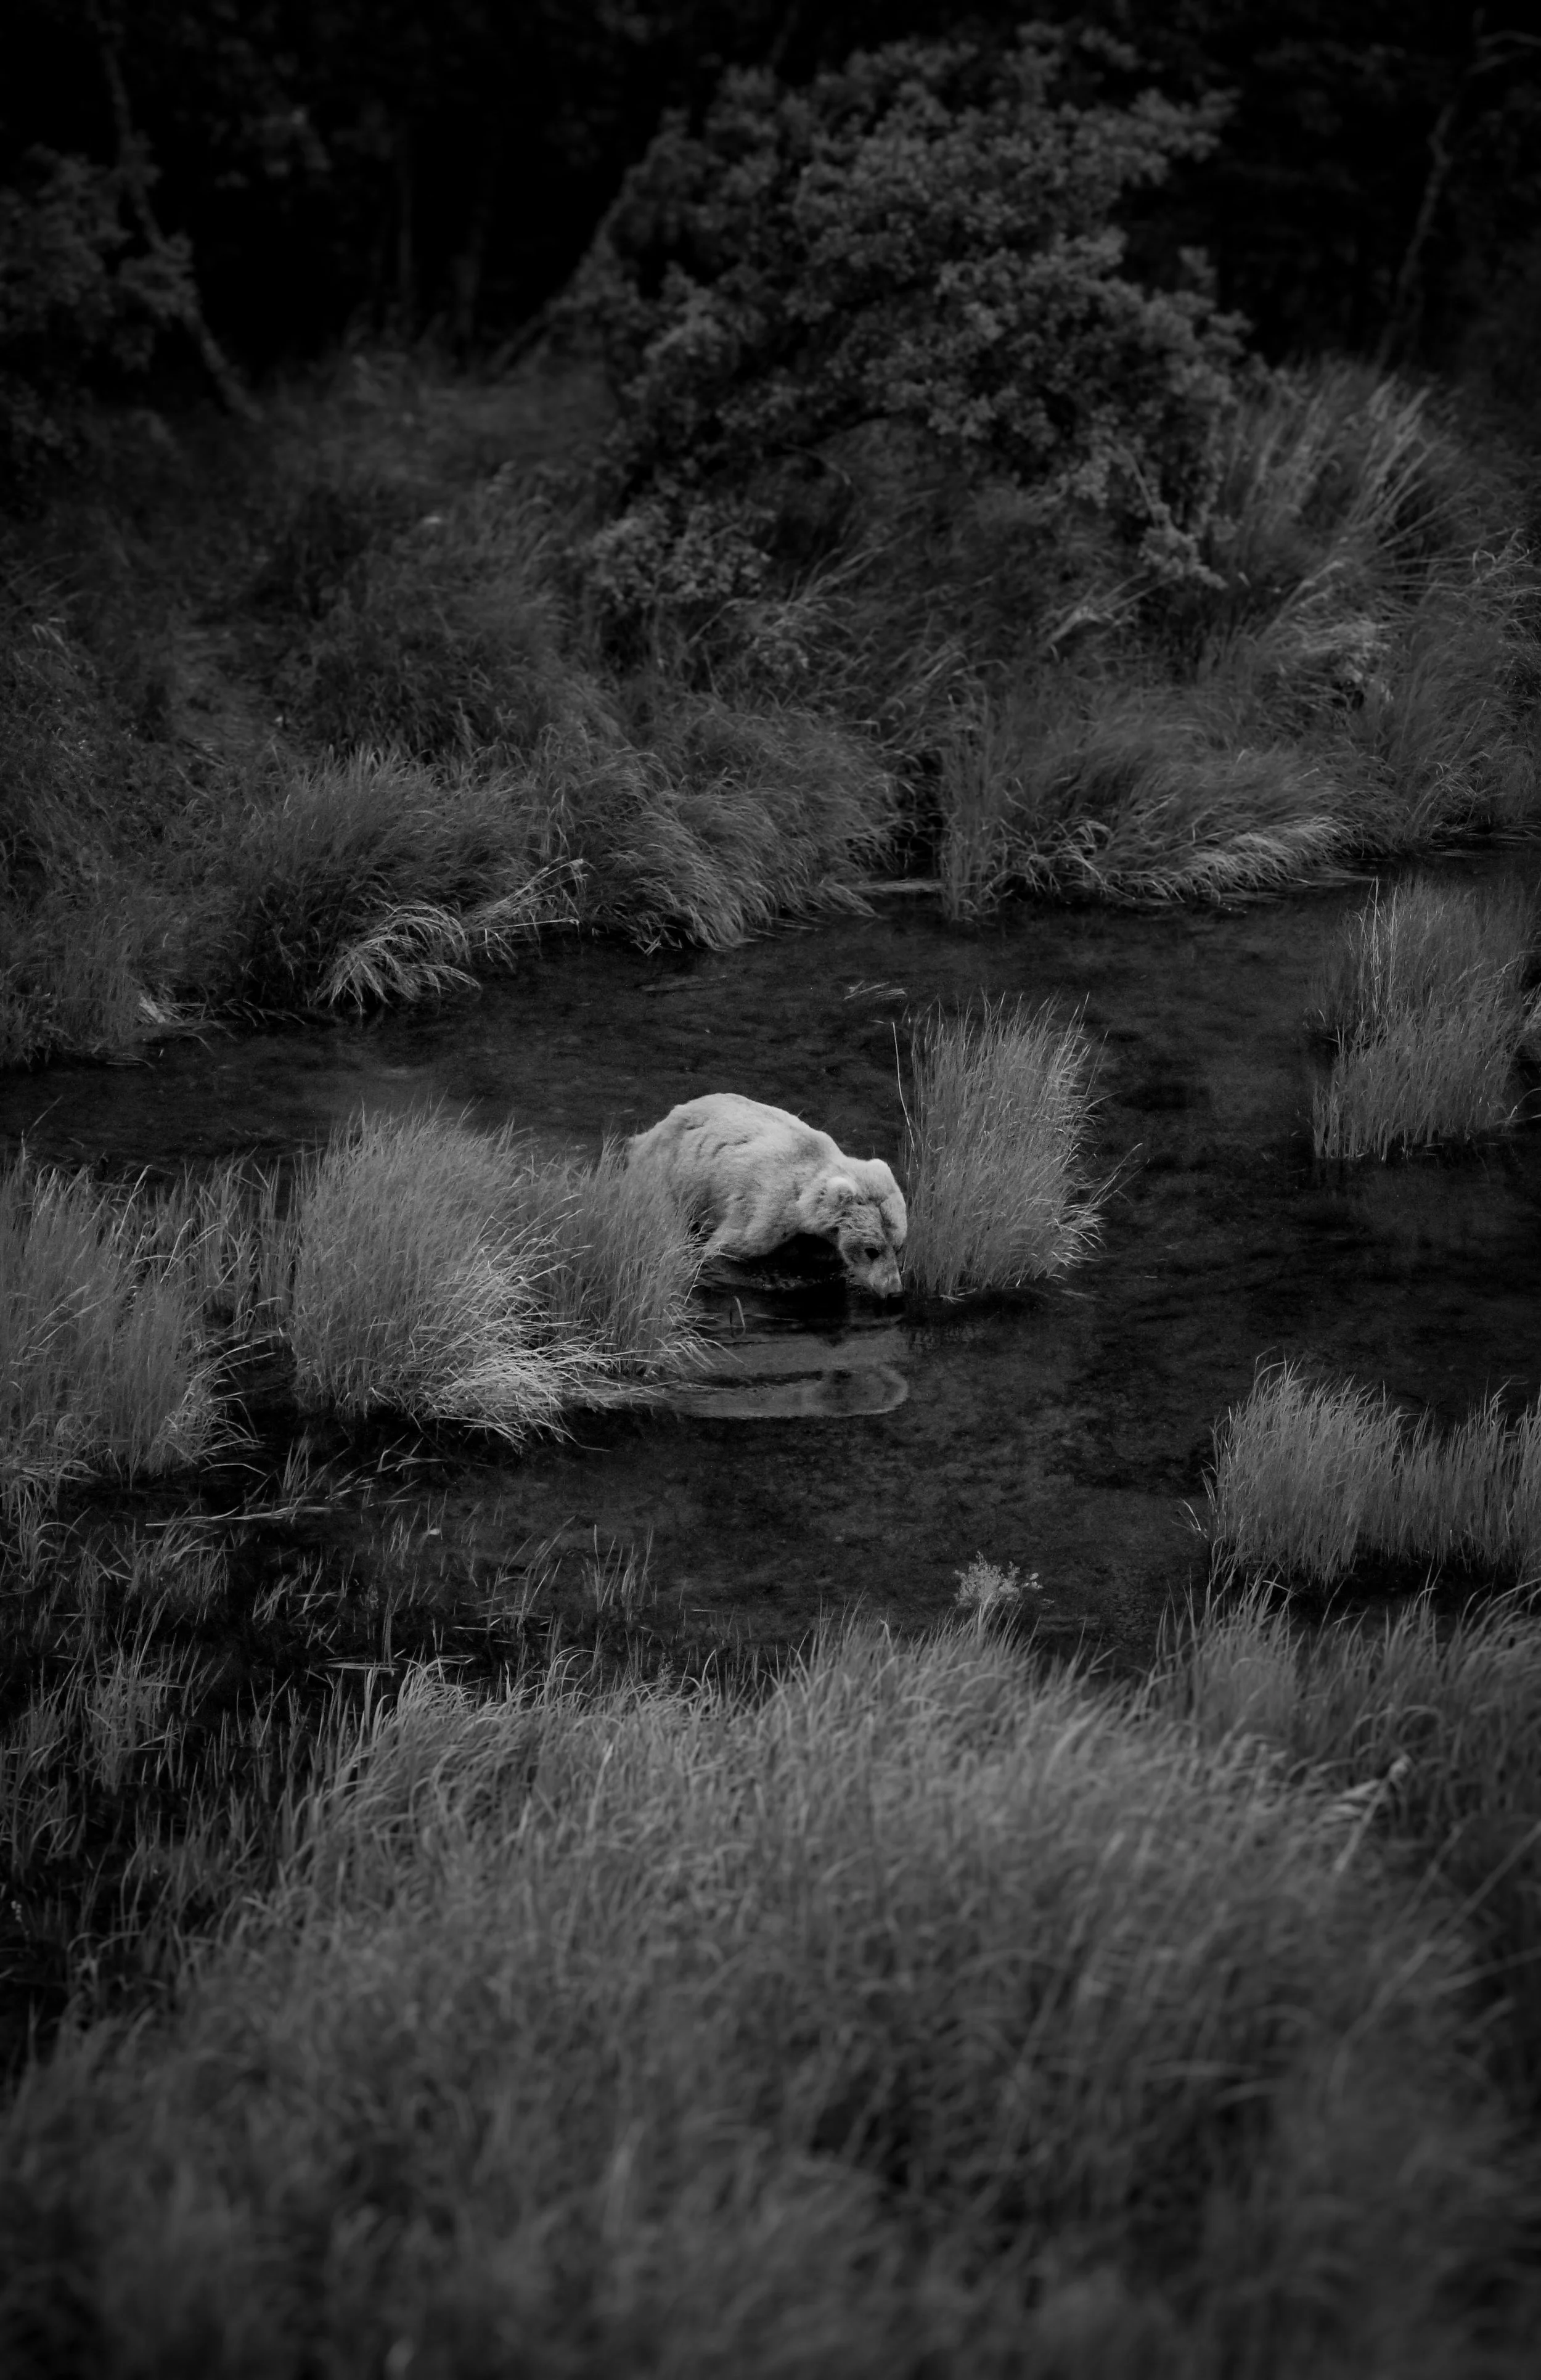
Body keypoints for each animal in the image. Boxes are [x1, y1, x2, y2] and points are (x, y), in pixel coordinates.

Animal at [627, 1092, 907, 1298]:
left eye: (898, 1247)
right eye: (872, 1250)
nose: (894, 1291)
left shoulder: (819, 1241)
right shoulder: (766, 1210)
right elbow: (727, 1250)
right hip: (669, 1175)